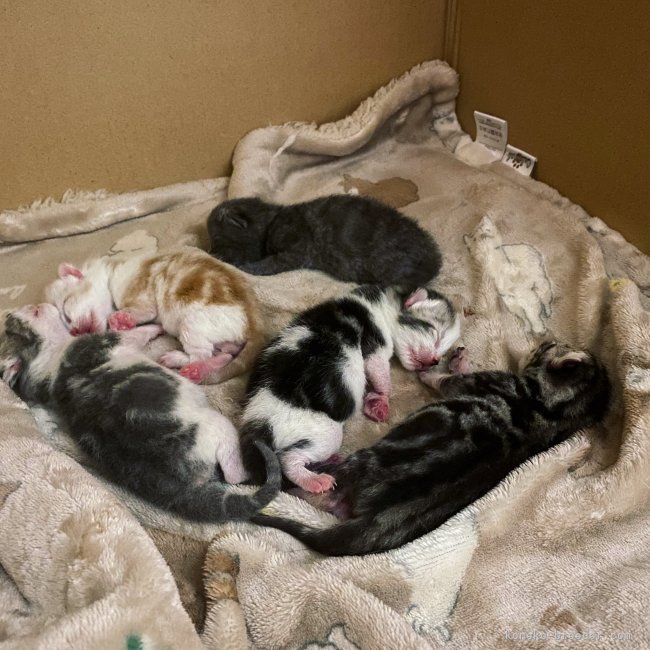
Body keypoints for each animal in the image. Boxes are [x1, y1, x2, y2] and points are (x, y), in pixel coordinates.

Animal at [0, 303, 281, 522]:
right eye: (36, 311)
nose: (44, 304)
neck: (48, 356)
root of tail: (176, 489)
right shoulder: (108, 341)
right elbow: (138, 333)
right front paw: (155, 325)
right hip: (216, 425)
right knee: (234, 475)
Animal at [44, 246, 265, 384]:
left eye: (65, 310)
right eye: (67, 327)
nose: (75, 331)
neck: (112, 272)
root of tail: (256, 324)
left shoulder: (139, 294)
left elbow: (142, 311)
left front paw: (120, 320)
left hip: (193, 323)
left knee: (201, 355)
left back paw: (190, 366)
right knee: (224, 353)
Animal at [207, 195, 442, 289]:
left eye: (216, 238)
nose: (210, 251)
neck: (271, 220)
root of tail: (435, 260)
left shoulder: (296, 249)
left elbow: (269, 264)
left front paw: (245, 267)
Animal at [239, 284, 460, 494]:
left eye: (443, 350)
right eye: (436, 334)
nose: (434, 361)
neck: (381, 305)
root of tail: (258, 421)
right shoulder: (375, 345)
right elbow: (380, 372)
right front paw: (382, 399)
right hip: (326, 432)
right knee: (287, 458)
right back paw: (313, 480)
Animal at [252, 342, 611, 555]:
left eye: (548, 347)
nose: (541, 339)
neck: (552, 410)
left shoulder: (476, 383)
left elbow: (444, 380)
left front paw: (432, 372)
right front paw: (456, 360)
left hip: (355, 465)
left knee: (301, 481)